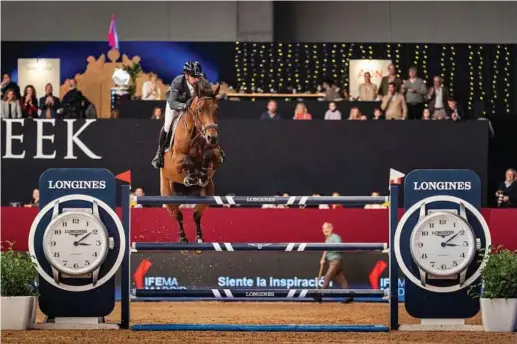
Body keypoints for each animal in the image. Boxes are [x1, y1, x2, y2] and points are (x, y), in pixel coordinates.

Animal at [159, 80, 224, 246]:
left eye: (217, 109)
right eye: (200, 110)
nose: (212, 137)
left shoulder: (216, 156)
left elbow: (209, 155)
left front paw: (202, 174)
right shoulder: (176, 161)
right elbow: (187, 161)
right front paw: (192, 176)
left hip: (208, 193)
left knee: (196, 214)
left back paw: (199, 238)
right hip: (167, 192)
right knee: (178, 215)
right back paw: (183, 239)